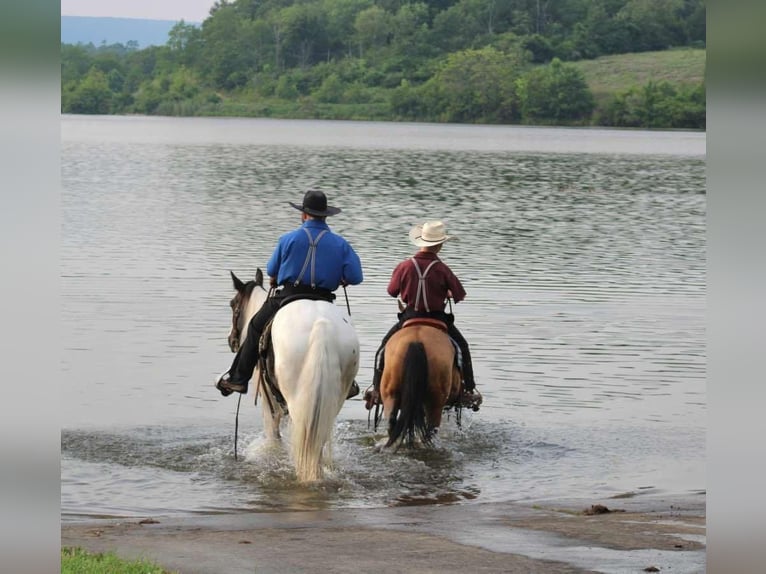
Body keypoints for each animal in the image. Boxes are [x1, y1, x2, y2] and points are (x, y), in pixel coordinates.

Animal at [228, 272, 360, 484]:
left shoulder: (268, 400)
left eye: (233, 304)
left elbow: (274, 435)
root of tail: (321, 327)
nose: (231, 340)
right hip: (332, 400)